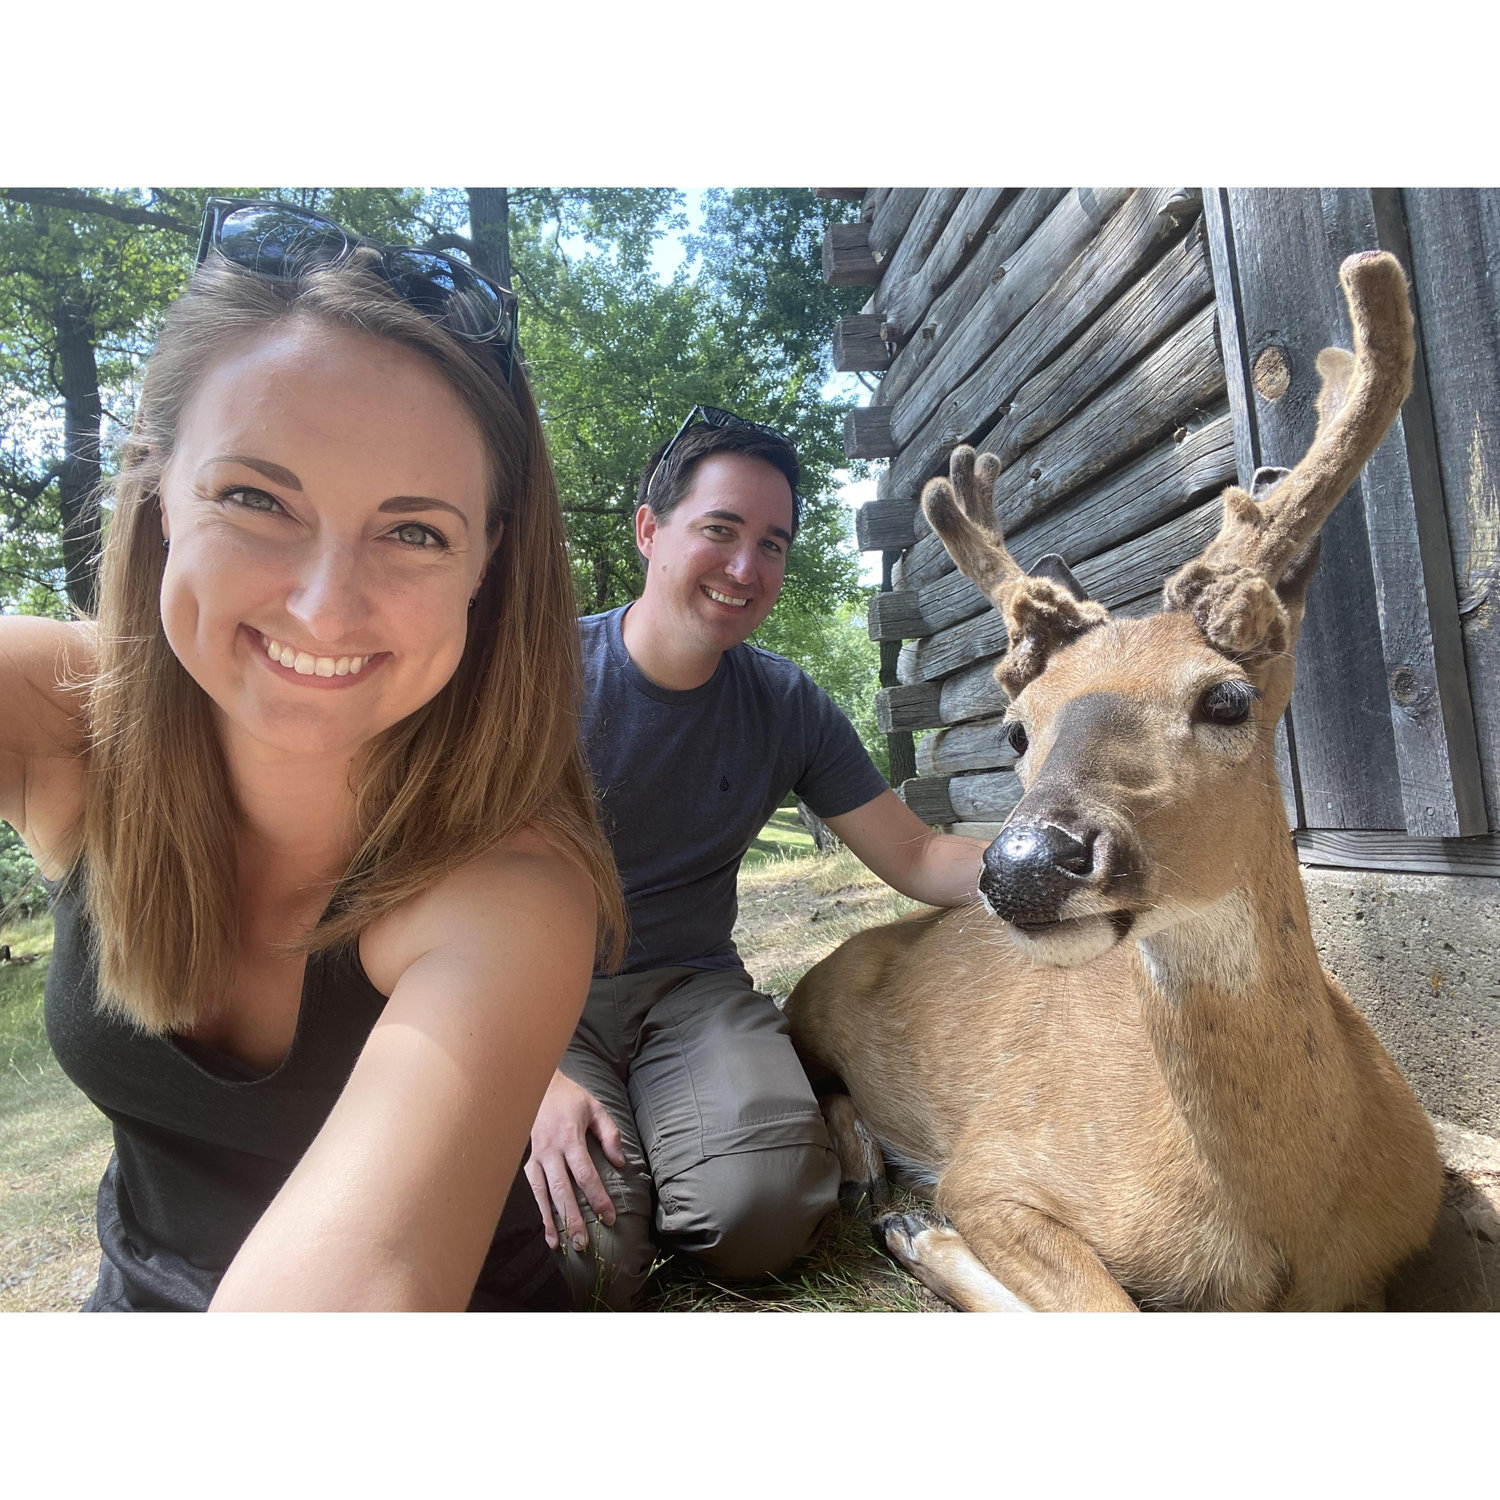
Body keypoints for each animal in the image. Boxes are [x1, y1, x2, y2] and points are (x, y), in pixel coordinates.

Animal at [785, 251, 1443, 1312]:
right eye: (1016, 728)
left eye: (1227, 698)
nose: (1024, 863)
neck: (1283, 1218)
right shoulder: (998, 1163)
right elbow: (1105, 1304)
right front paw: (922, 1229)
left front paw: (921, 1233)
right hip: (811, 1007)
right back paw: (874, 1184)